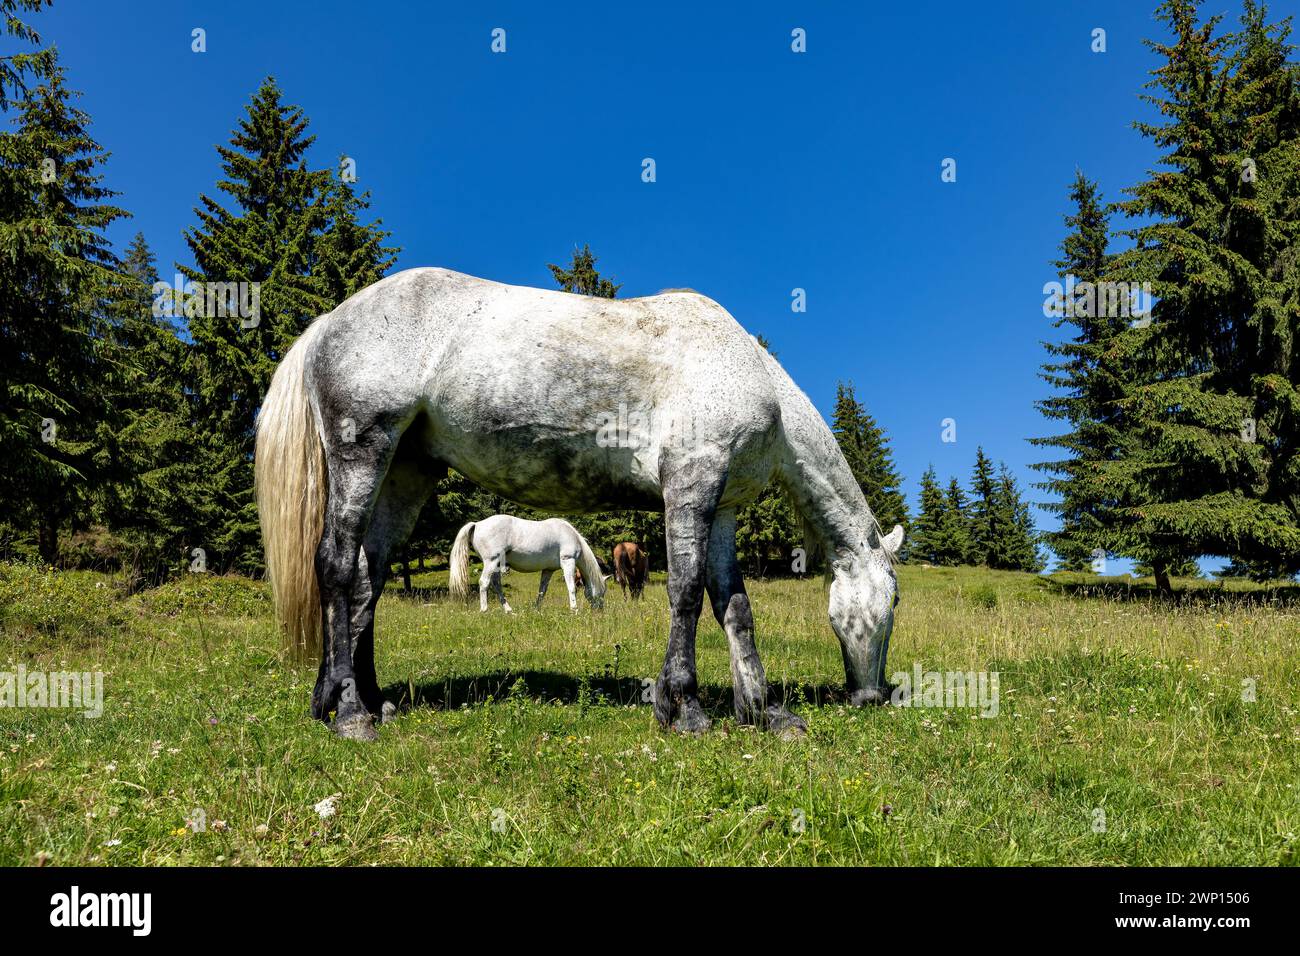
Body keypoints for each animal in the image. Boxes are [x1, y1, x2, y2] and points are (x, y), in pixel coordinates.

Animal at [448, 514, 607, 612]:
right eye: (602, 591)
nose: (600, 611)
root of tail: (477, 524)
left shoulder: (548, 570)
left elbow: (542, 591)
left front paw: (537, 610)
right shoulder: (568, 561)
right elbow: (571, 587)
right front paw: (574, 610)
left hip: (496, 565)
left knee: (497, 585)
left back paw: (509, 611)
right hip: (491, 562)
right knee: (484, 583)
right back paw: (484, 610)